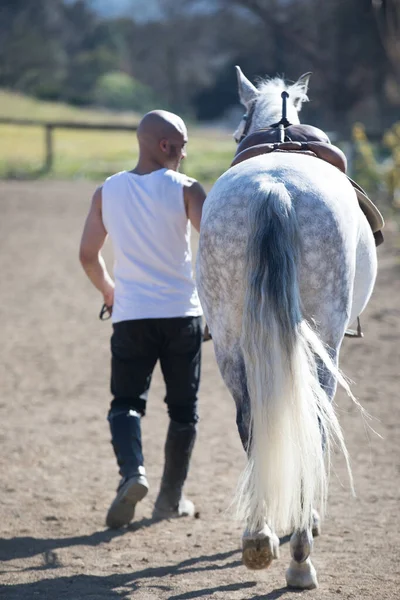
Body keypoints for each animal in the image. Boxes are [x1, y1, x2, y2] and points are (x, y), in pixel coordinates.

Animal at [197, 68, 378, 588]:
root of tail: (274, 187)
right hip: (325, 343)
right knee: (312, 426)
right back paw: (300, 553)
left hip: (229, 343)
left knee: (252, 423)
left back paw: (259, 539)